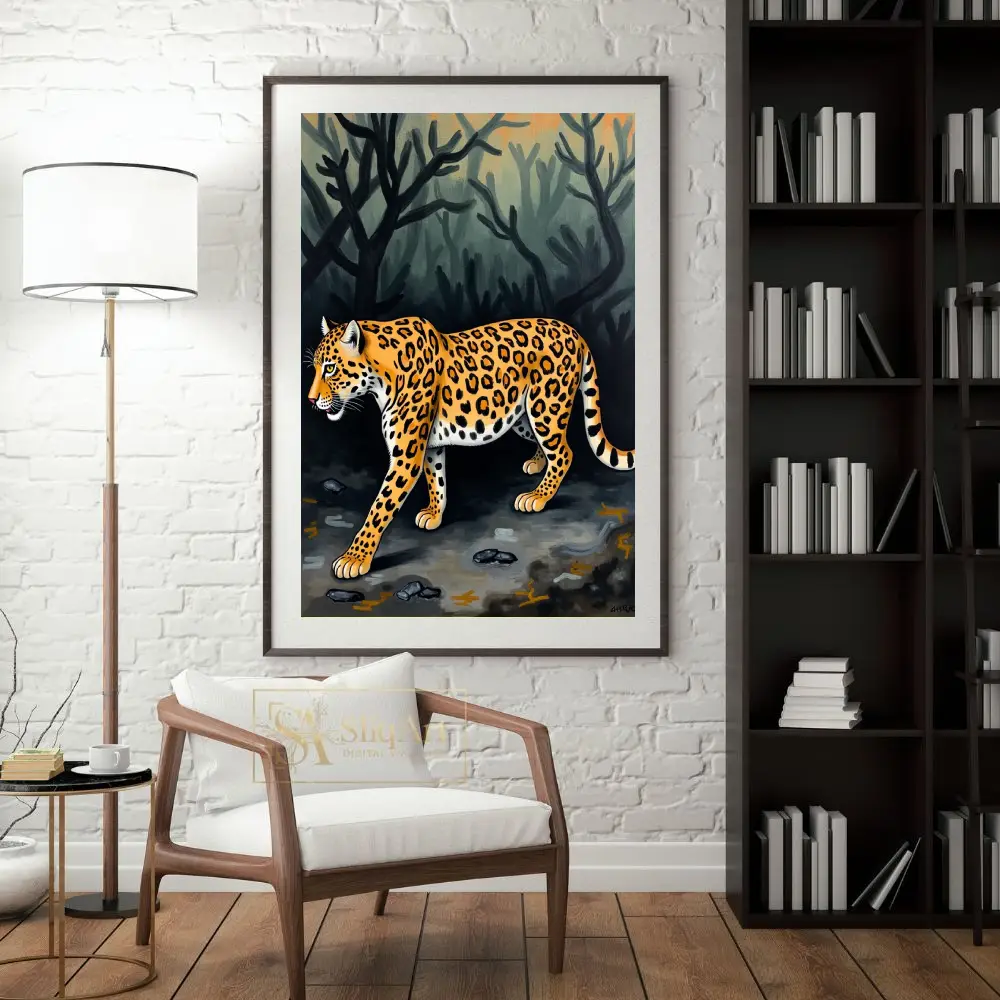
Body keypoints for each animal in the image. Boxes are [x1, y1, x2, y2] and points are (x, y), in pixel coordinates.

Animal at [307, 315, 635, 580]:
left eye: (330, 368)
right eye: (316, 368)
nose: (310, 400)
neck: (381, 376)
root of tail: (573, 330)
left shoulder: (406, 457)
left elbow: (379, 507)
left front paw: (355, 558)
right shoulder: (429, 446)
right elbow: (436, 479)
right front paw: (434, 513)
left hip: (546, 406)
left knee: (565, 452)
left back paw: (538, 497)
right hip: (520, 415)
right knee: (549, 445)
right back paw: (536, 464)